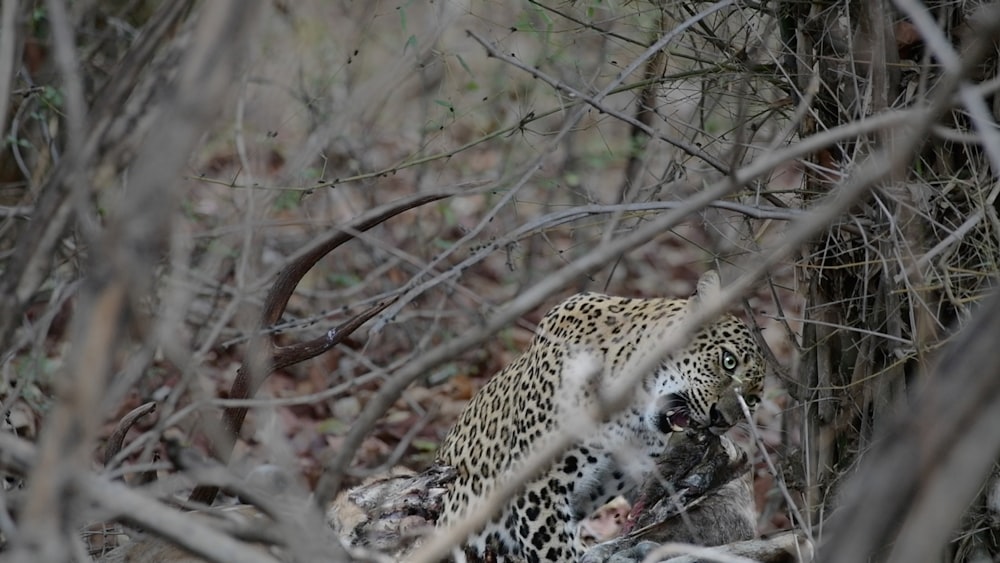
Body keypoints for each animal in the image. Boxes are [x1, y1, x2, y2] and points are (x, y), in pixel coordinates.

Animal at [434, 270, 768, 560]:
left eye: (752, 400)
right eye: (728, 360)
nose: (721, 420)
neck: (630, 414)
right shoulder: (537, 482)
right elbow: (553, 550)